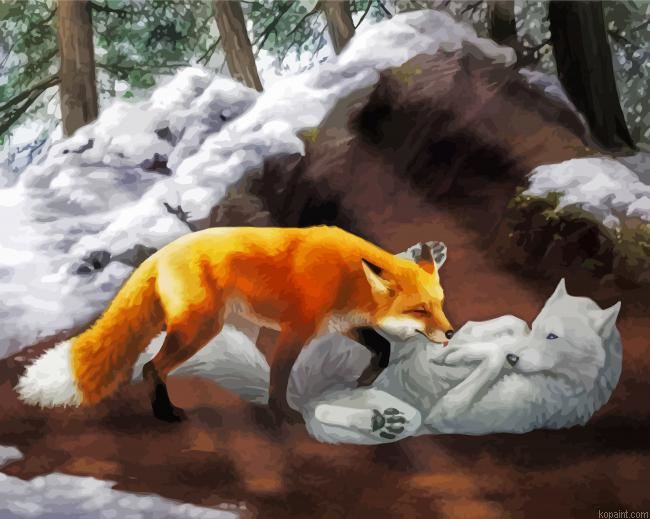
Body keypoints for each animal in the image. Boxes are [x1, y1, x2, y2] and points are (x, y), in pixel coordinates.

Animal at [16, 226, 454, 424]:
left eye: (440, 305)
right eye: (420, 310)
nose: (450, 332)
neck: (347, 277)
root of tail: (158, 254)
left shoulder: (342, 324)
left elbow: (384, 348)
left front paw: (364, 381)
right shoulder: (296, 329)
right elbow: (279, 375)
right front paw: (283, 413)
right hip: (200, 329)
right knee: (150, 367)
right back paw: (166, 414)